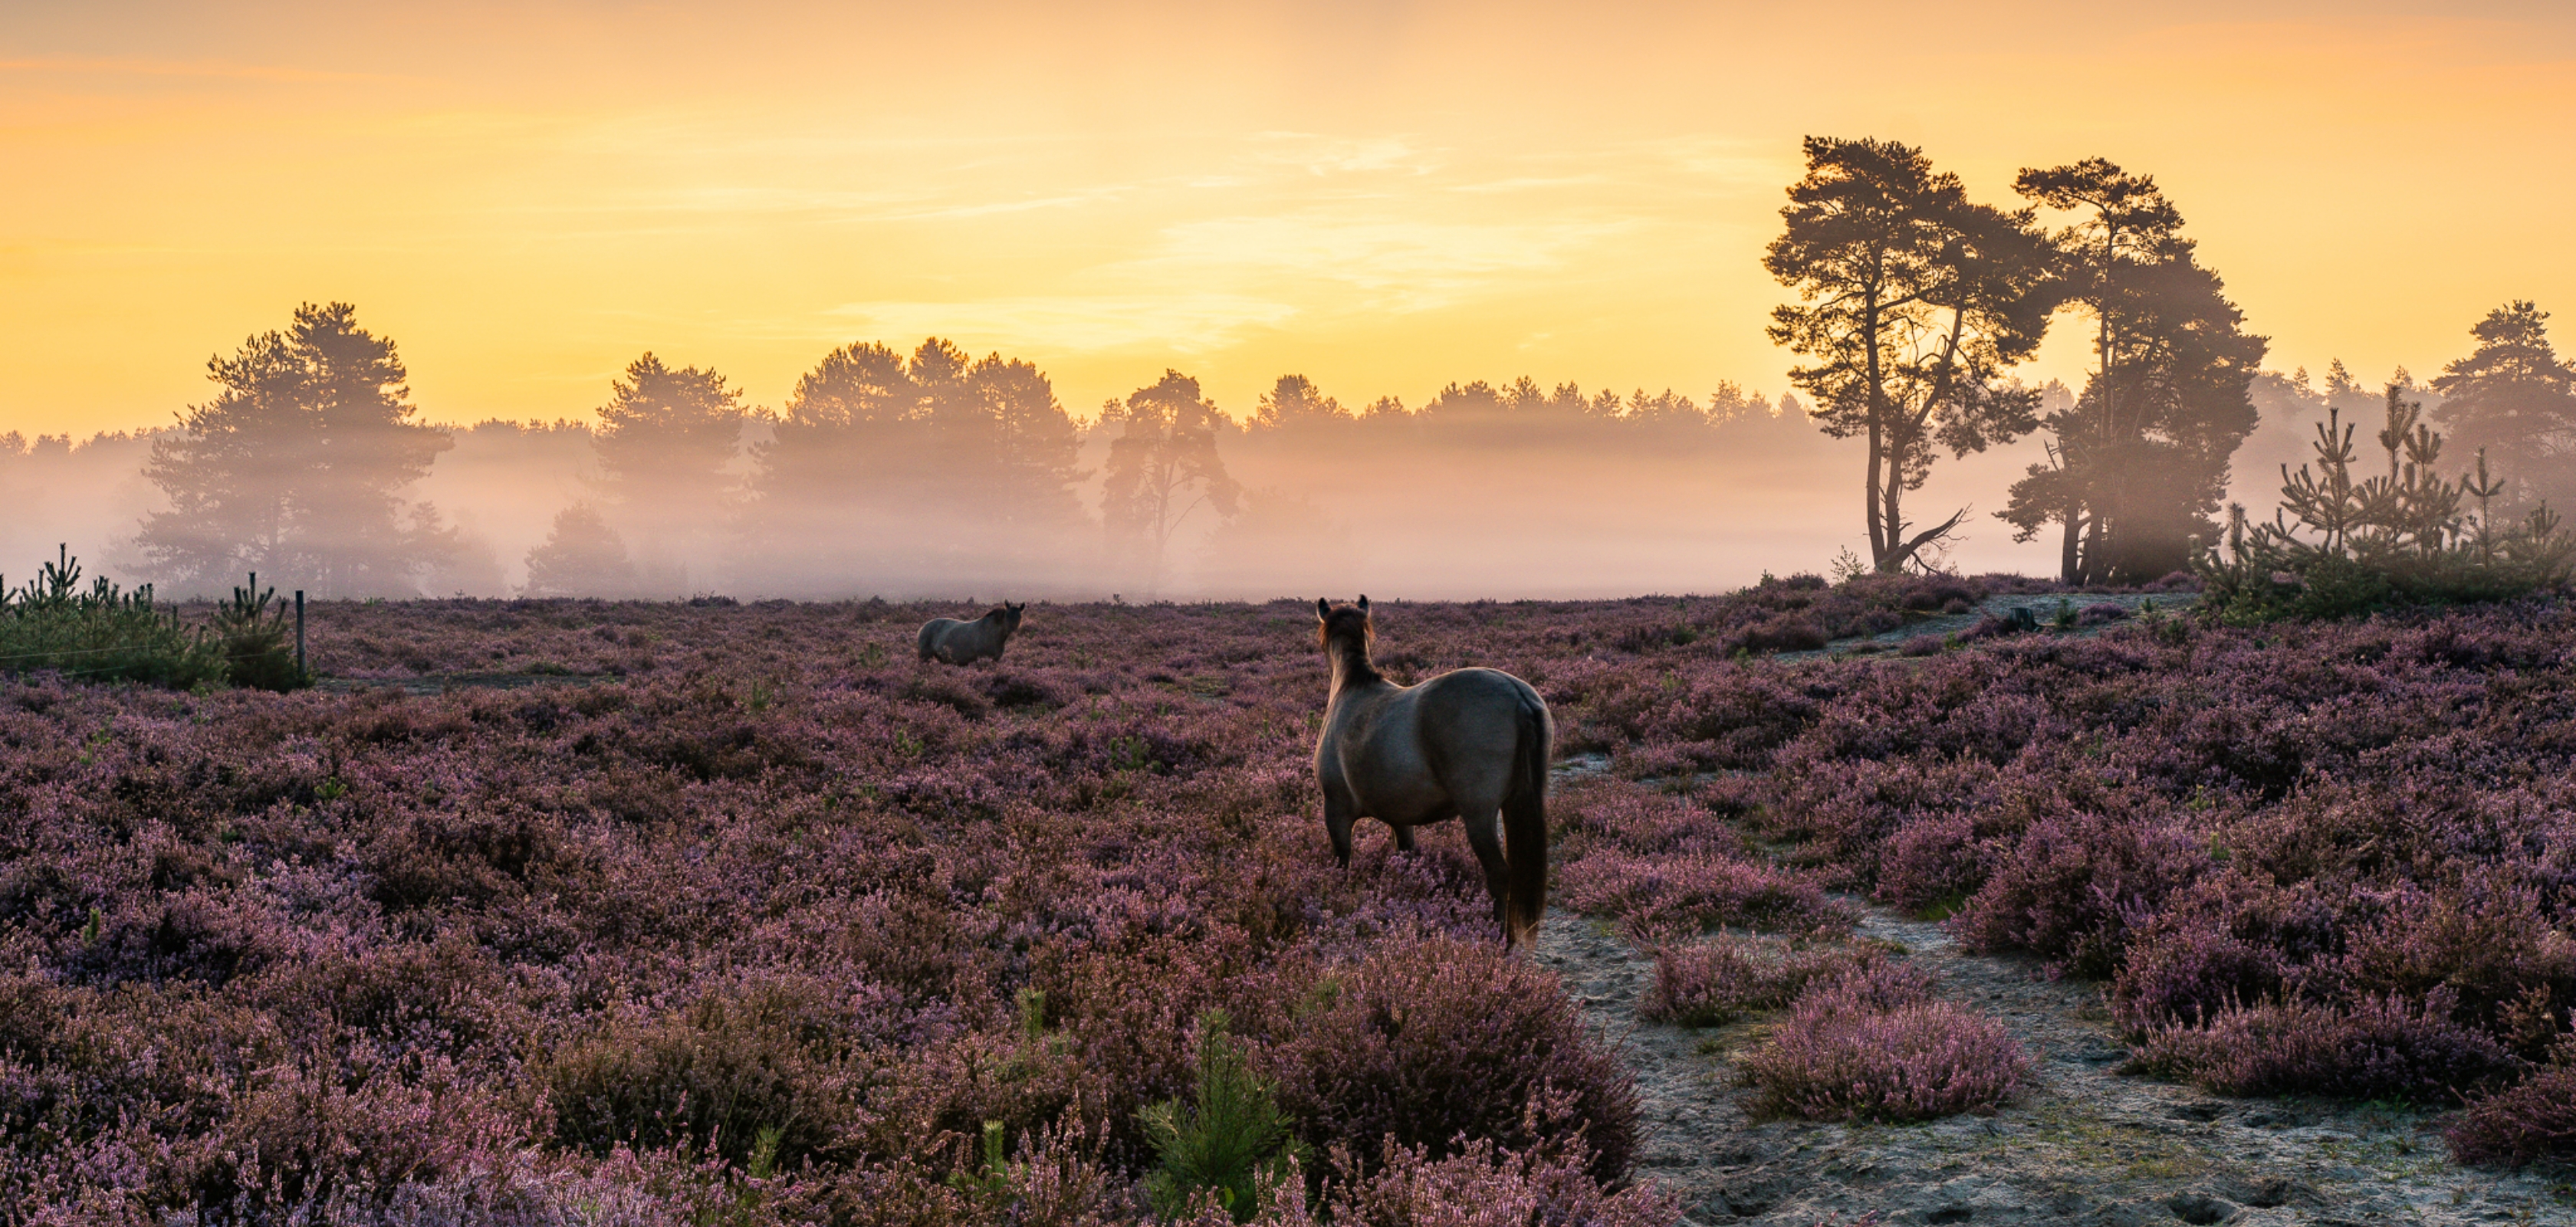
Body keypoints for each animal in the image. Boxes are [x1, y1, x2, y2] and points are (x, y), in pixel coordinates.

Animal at [1308, 597, 1545, 943]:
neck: (1351, 689)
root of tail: (1517, 694)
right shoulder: (1400, 818)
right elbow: (1407, 859)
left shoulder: (1335, 812)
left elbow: (1342, 864)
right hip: (1515, 804)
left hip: (1479, 816)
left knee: (1500, 874)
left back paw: (1499, 938)